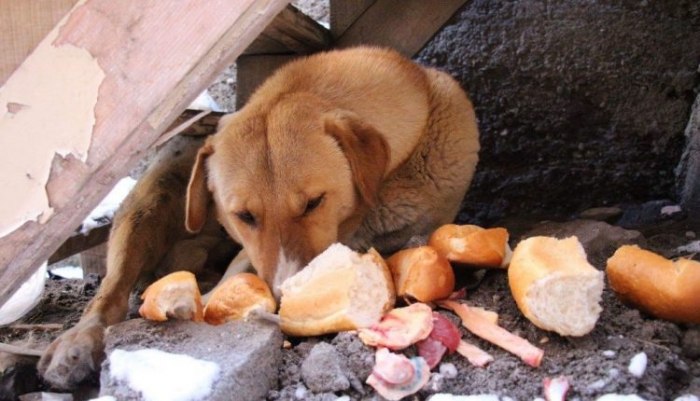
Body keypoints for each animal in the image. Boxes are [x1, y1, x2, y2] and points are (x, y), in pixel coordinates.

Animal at [35, 47, 478, 388]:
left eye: (313, 202)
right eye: (244, 215)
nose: (283, 299)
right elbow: (236, 274)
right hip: (147, 207)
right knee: (111, 291)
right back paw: (77, 343)